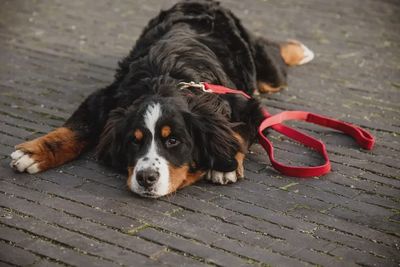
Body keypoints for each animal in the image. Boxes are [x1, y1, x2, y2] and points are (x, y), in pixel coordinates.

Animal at [9, 0, 314, 199]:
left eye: (174, 141)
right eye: (134, 140)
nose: (146, 178)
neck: (168, 78)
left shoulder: (248, 106)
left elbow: (238, 133)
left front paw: (224, 164)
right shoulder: (107, 97)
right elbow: (76, 128)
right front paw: (34, 152)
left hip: (269, 75)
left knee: (272, 54)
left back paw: (299, 50)